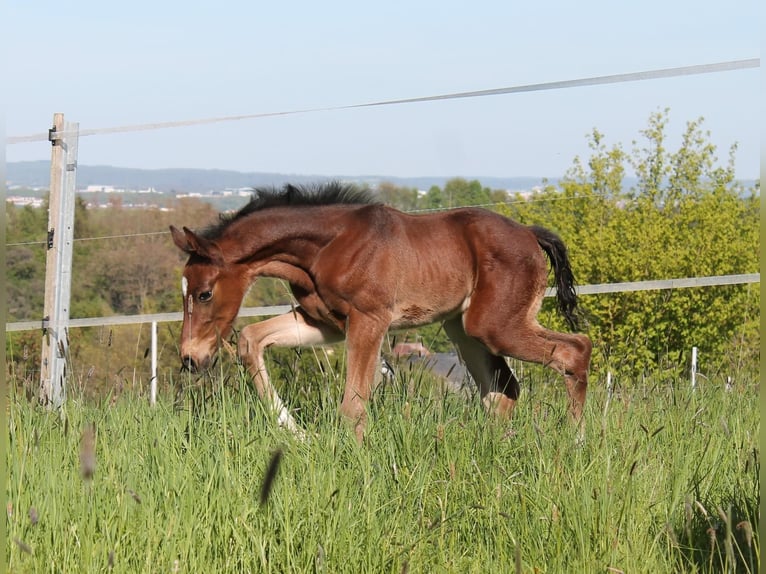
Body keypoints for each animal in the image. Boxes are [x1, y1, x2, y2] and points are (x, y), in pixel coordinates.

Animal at [172, 182, 592, 444]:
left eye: (205, 293)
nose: (191, 358)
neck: (327, 247)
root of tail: (529, 233)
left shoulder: (369, 320)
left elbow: (353, 403)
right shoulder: (324, 323)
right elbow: (250, 340)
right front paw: (299, 433)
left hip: (494, 326)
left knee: (575, 349)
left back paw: (573, 442)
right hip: (464, 330)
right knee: (503, 389)